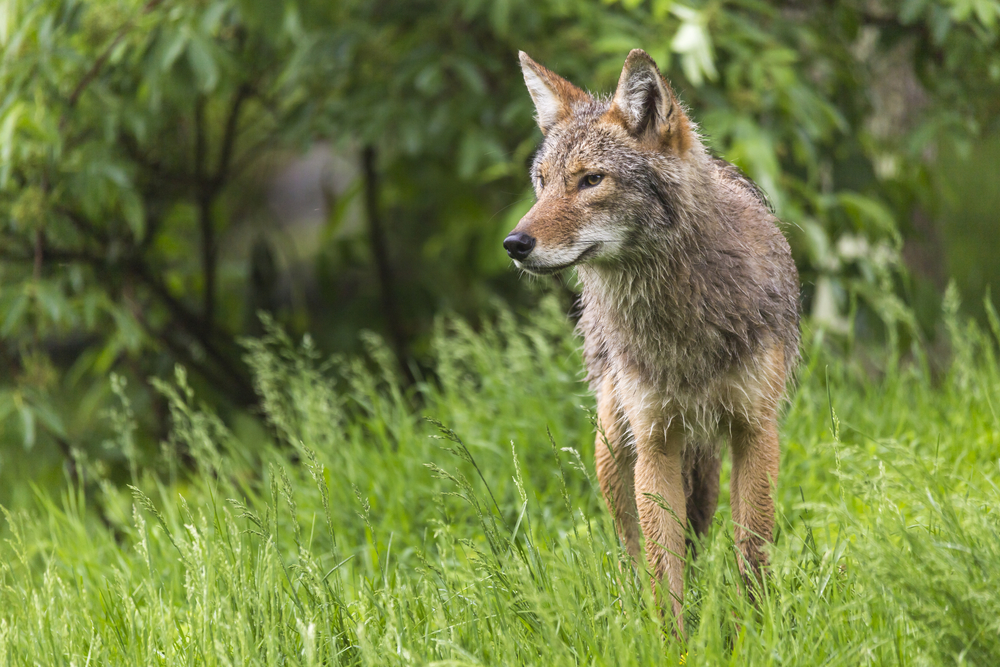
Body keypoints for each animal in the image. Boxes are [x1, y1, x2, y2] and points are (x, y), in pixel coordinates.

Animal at [505, 49, 800, 631]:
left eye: (591, 180)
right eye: (542, 182)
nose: (514, 243)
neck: (682, 324)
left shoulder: (756, 430)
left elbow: (752, 551)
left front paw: (757, 633)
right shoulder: (655, 443)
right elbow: (664, 574)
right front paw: (673, 640)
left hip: (703, 458)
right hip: (615, 442)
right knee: (630, 549)